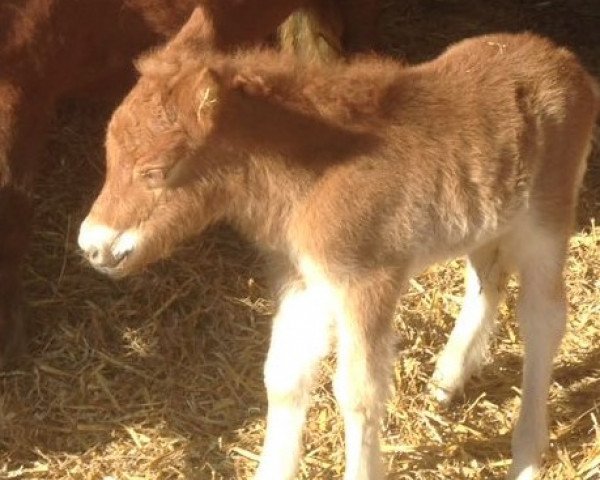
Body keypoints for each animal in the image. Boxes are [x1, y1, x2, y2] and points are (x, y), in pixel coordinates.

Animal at [79, 31, 600, 478]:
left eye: (155, 171)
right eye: (109, 155)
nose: (92, 245)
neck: (310, 177)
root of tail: (565, 60)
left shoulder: (366, 282)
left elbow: (358, 393)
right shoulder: (305, 279)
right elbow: (282, 376)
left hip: (545, 220)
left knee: (543, 317)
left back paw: (526, 455)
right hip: (485, 216)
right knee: (487, 279)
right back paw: (448, 379)